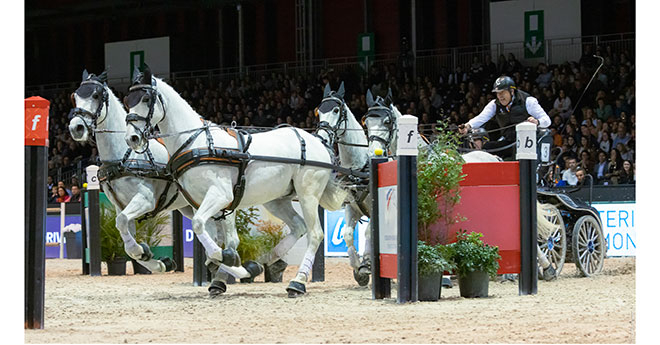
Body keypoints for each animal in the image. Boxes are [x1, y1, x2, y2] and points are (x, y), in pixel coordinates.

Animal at [67, 69, 253, 292]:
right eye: (75, 97)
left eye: (95, 95)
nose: (76, 128)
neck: (125, 155)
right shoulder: (122, 206)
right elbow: (126, 240)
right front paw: (156, 260)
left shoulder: (144, 200)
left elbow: (122, 223)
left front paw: (150, 257)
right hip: (192, 206)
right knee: (216, 237)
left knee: (231, 240)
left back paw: (233, 271)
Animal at [122, 67, 346, 296]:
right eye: (127, 100)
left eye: (146, 98)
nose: (132, 138)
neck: (196, 142)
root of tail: (317, 141)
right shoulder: (206, 204)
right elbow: (216, 239)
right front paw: (231, 272)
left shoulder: (220, 196)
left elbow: (200, 227)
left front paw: (229, 260)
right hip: (277, 199)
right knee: (298, 227)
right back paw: (263, 262)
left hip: (308, 195)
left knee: (315, 234)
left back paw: (297, 282)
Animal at [318, 82, 374, 286]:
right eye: (319, 111)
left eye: (336, 110)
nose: (323, 138)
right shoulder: (352, 207)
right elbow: (348, 235)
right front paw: (358, 269)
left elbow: (369, 234)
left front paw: (366, 264)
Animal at [360, 88, 556, 280]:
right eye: (366, 123)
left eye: (387, 122)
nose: (371, 154)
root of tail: (495, 158)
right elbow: (370, 229)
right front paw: (364, 265)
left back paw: (545, 268)